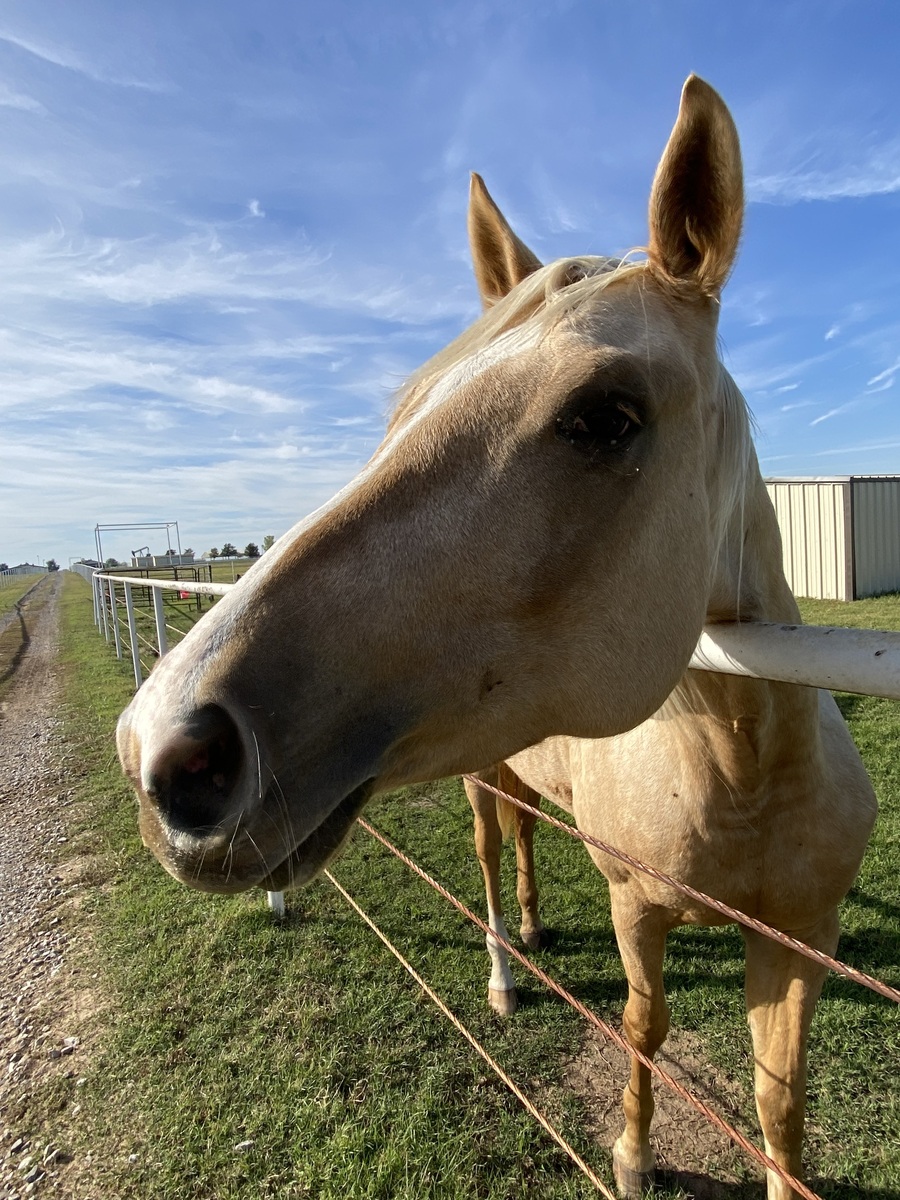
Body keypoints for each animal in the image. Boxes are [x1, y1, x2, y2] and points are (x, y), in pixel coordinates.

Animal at [116, 77, 876, 1199]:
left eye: (606, 416)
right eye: (406, 405)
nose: (163, 748)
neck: (744, 766)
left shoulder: (800, 941)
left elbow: (780, 1103)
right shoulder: (637, 911)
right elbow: (644, 1031)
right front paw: (633, 1156)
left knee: (519, 839)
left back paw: (528, 920)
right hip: (478, 779)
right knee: (485, 853)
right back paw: (505, 974)